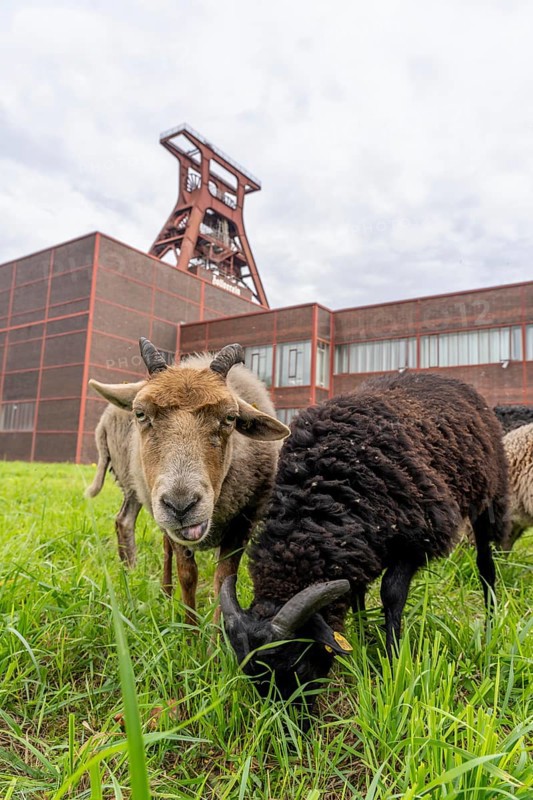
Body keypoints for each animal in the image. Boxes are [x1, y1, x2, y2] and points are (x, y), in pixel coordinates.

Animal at [86, 338, 290, 623]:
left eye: (230, 418)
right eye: (140, 414)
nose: (180, 505)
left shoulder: (244, 519)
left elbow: (223, 580)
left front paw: (218, 633)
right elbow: (188, 576)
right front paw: (190, 629)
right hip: (136, 484)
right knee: (128, 523)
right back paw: (137, 576)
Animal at [220, 372, 509, 706]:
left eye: (297, 663)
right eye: (251, 675)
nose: (297, 720)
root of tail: (447, 378)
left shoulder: (417, 539)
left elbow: (391, 594)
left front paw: (393, 658)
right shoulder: (358, 545)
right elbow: (356, 592)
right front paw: (361, 635)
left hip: (489, 495)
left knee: (485, 564)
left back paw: (490, 622)